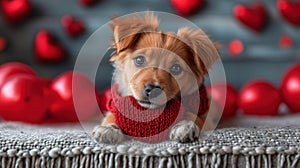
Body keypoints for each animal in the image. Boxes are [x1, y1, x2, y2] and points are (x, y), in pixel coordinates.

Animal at [92, 13, 219, 143]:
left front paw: (186, 125)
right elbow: (112, 116)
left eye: (176, 68)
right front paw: (109, 128)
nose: (152, 89)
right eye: (139, 60)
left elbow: (195, 116)